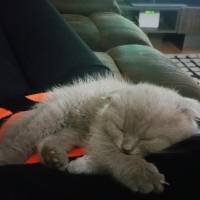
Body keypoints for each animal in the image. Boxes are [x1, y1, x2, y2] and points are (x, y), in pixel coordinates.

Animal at [0, 74, 200, 194]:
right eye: (120, 128)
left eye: (147, 138)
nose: (126, 148)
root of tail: (55, 95)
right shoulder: (99, 136)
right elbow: (113, 155)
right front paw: (143, 174)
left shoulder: (94, 136)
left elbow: (100, 161)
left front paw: (80, 165)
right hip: (55, 114)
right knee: (23, 138)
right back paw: (8, 158)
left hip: (76, 130)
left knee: (47, 140)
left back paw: (53, 157)